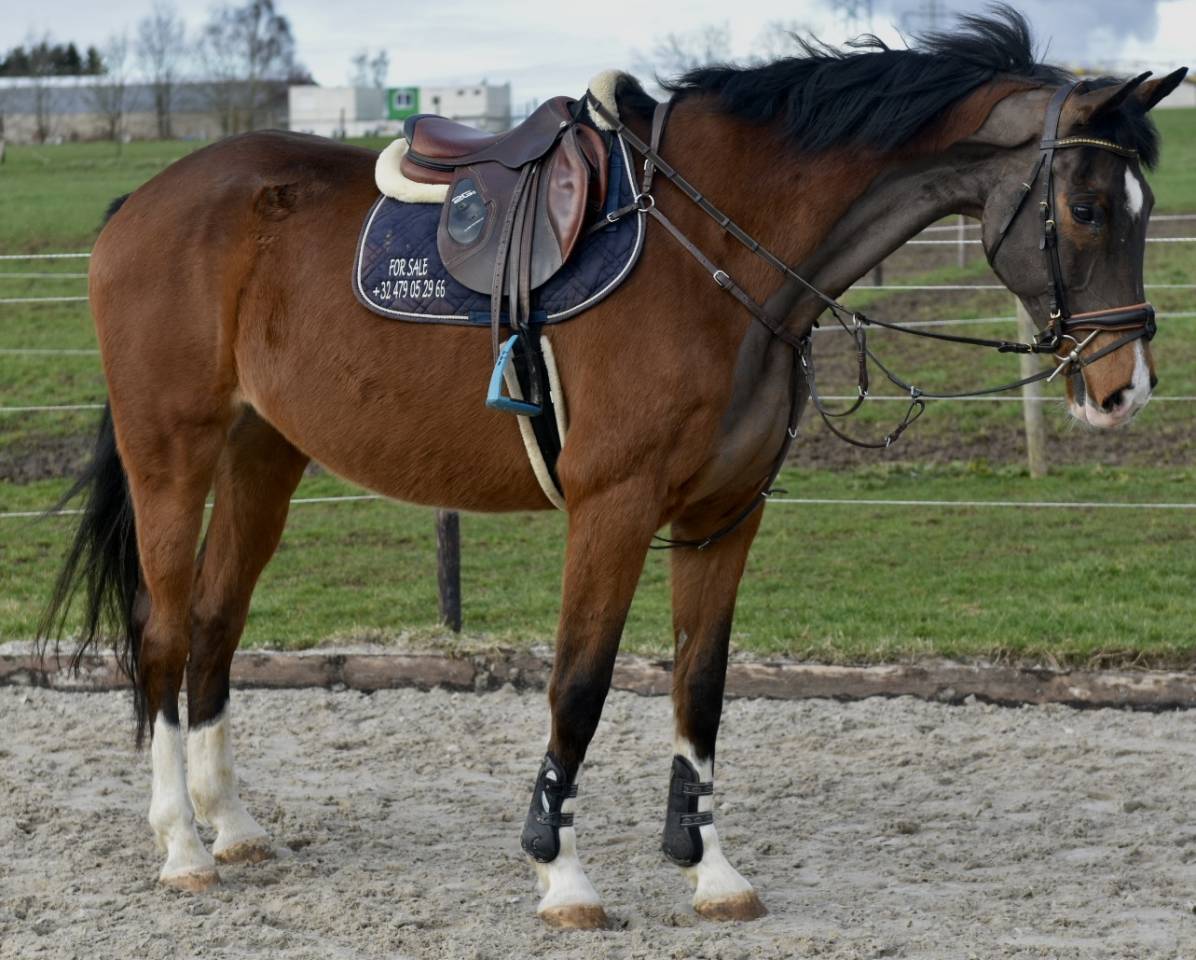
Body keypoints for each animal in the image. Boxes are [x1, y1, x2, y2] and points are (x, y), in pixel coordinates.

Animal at [41, 10, 1184, 929]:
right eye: (1087, 208)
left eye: (1138, 208)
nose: (1122, 387)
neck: (713, 254)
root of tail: (143, 201)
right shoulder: (612, 508)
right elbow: (579, 687)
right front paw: (563, 877)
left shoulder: (726, 514)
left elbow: (699, 687)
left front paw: (712, 872)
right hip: (172, 453)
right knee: (163, 630)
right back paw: (182, 847)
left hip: (263, 455)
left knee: (216, 628)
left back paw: (230, 826)